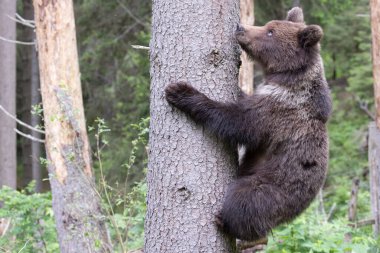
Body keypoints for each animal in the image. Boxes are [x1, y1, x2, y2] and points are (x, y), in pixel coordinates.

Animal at [165, 7, 332, 241]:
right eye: (268, 25)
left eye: (270, 32)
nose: (240, 27)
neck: (288, 78)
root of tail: (290, 216)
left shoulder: (277, 110)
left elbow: (238, 122)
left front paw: (181, 92)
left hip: (271, 189)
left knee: (243, 200)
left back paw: (226, 221)